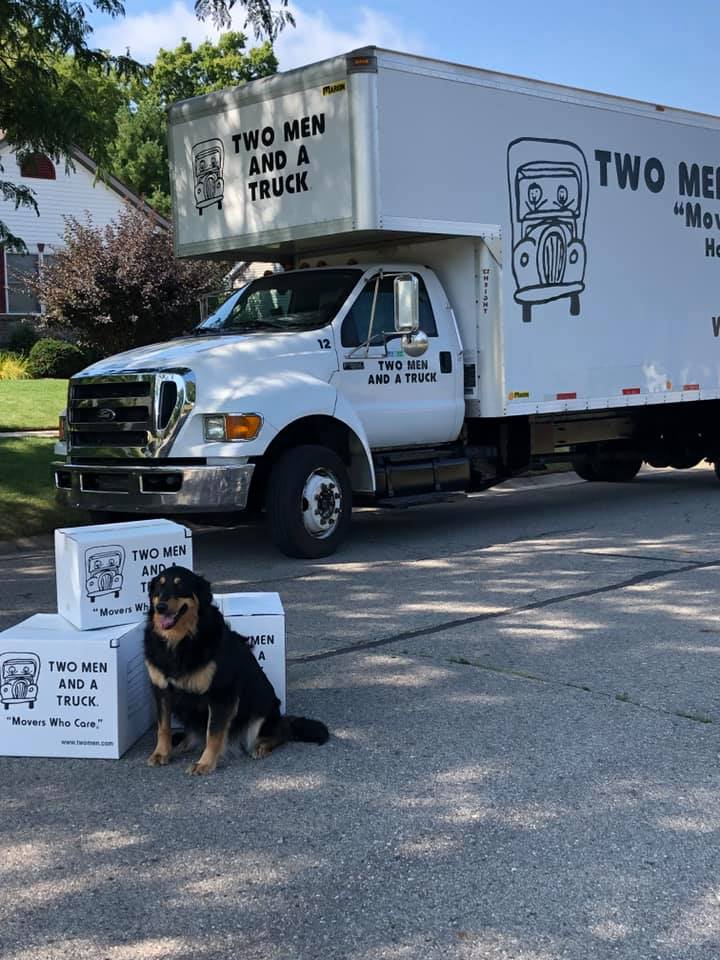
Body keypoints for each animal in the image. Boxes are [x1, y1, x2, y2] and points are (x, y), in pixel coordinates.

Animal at [143, 568, 330, 776]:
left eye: (180, 585)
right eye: (158, 586)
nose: (160, 607)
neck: (180, 641)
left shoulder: (221, 694)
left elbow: (213, 733)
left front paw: (205, 764)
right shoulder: (161, 691)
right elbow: (163, 727)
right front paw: (161, 753)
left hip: (262, 712)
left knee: (282, 730)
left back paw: (262, 745)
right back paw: (185, 742)